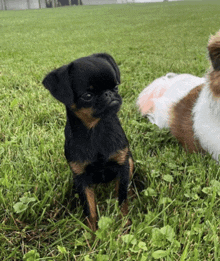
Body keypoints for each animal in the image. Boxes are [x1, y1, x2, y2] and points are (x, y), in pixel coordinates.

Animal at [42, 52, 133, 230]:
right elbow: (90, 210)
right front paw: (91, 234)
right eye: (87, 96)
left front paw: (124, 225)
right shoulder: (81, 178)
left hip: (130, 161)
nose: (109, 94)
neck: (96, 130)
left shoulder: (122, 164)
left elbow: (122, 200)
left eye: (116, 87)